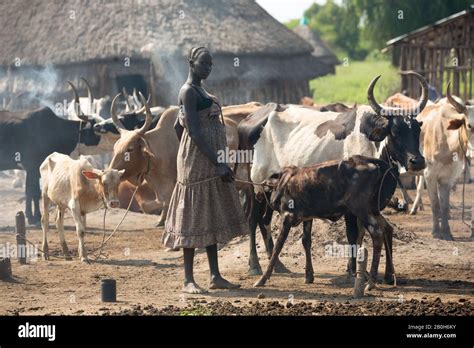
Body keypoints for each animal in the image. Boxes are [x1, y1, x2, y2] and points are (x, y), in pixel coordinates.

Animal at [254, 155, 398, 288]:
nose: (264, 217)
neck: (281, 183)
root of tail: (374, 164)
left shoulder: (287, 217)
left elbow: (277, 247)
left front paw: (263, 279)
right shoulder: (307, 218)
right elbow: (306, 241)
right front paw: (309, 275)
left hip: (361, 210)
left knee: (377, 233)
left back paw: (371, 281)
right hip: (372, 210)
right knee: (387, 228)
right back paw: (388, 276)